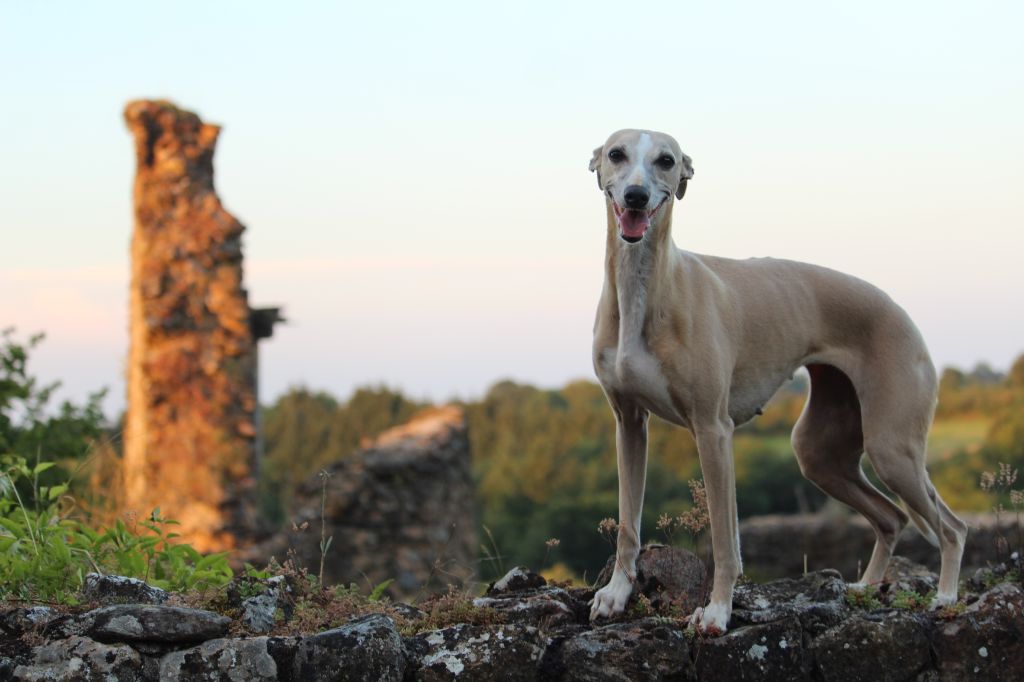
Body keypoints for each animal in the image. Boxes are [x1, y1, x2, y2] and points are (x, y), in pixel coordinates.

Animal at [589, 129, 962, 630]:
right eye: (616, 154)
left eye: (666, 161)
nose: (635, 196)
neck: (646, 290)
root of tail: (901, 312)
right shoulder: (629, 423)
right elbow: (628, 523)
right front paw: (616, 594)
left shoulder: (713, 429)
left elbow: (725, 539)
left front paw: (717, 611)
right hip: (819, 452)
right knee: (892, 517)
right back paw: (865, 587)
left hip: (892, 446)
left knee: (950, 526)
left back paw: (945, 596)